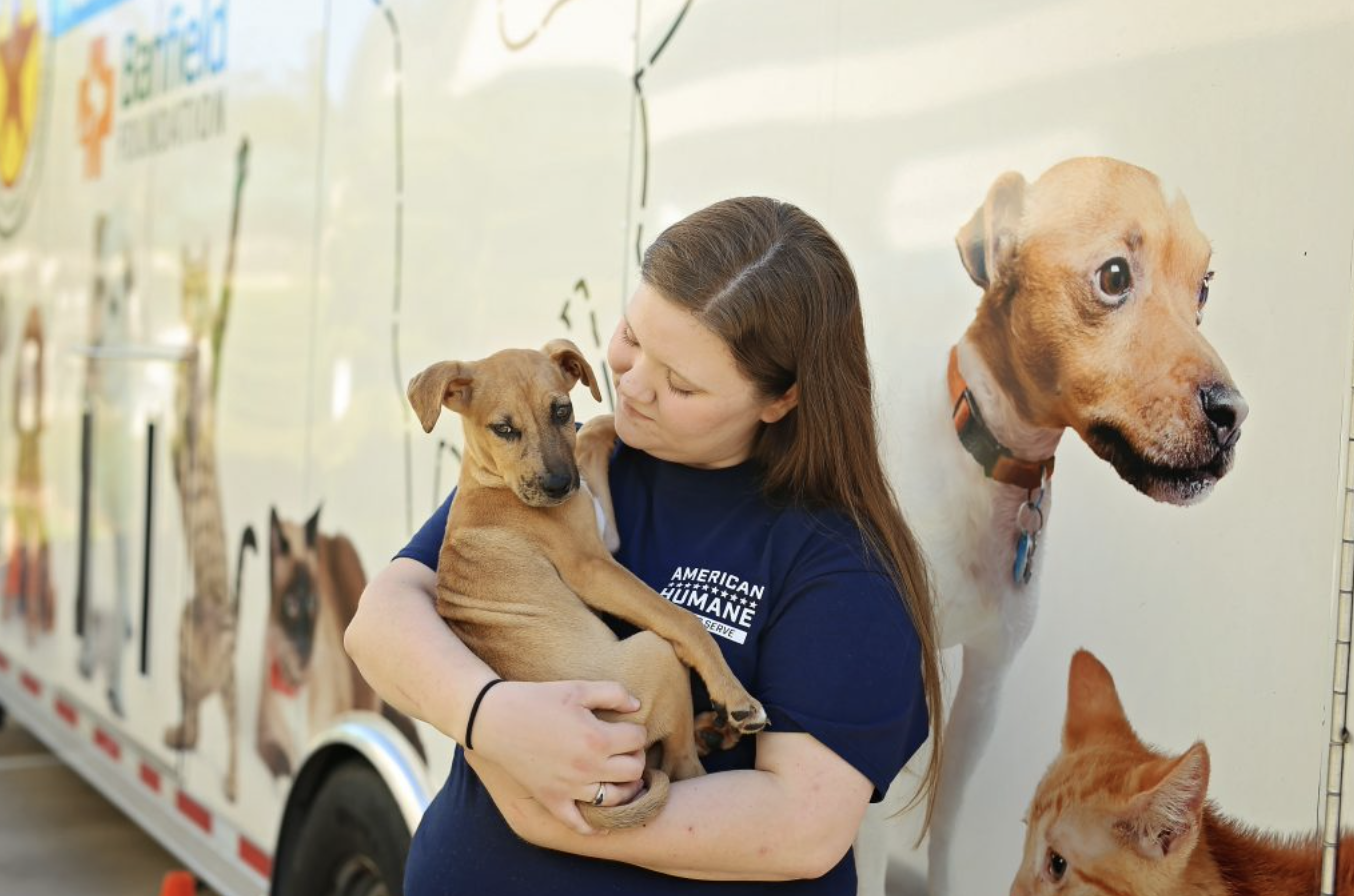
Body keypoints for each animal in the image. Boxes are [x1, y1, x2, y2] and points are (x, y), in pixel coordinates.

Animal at [406, 341, 769, 833]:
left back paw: (712, 730)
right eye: (504, 429)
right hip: (654, 654)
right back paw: (718, 728)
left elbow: (595, 430)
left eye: (562, 410)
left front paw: (620, 420)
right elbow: (684, 620)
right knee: (680, 766)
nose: (559, 486)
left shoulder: (603, 535)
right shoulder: (592, 568)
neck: (488, 479)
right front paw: (737, 696)